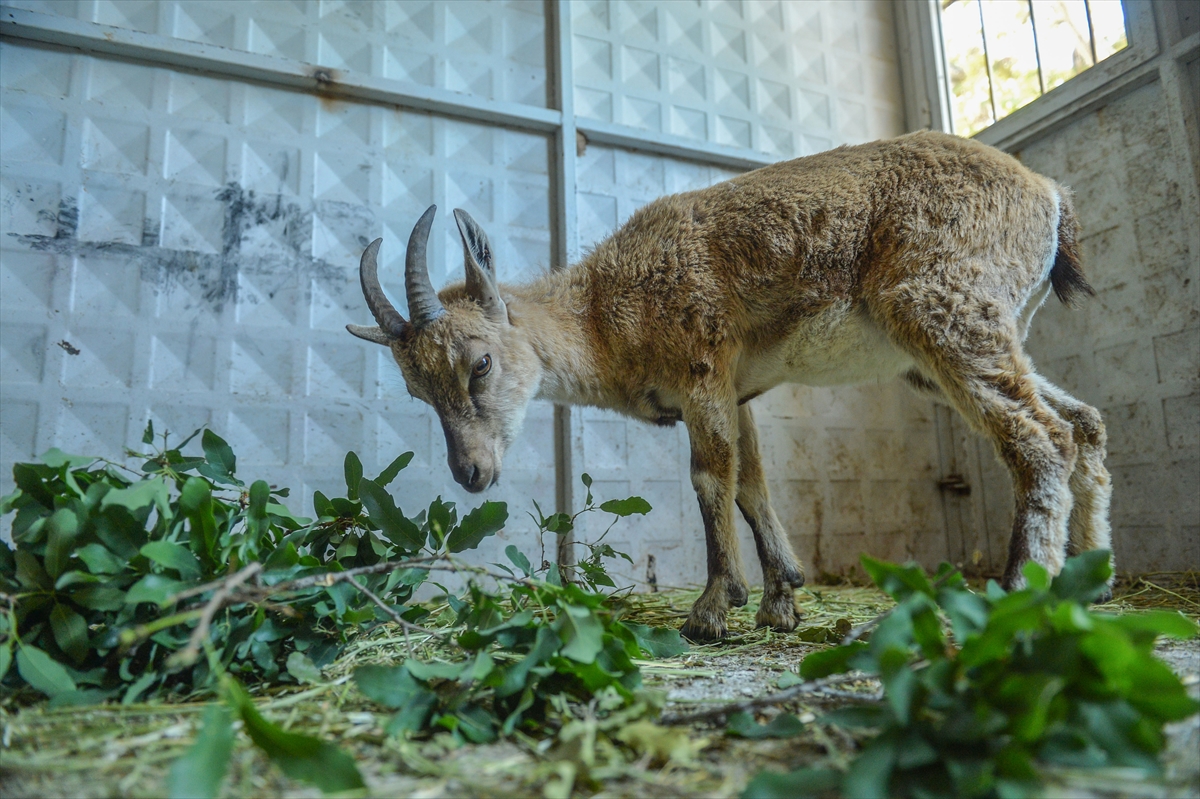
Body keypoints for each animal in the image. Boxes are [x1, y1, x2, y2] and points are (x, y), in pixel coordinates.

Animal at [350, 131, 1113, 643]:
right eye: (416, 390)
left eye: (478, 363)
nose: (472, 473)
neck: (604, 311)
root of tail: (1049, 198)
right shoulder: (738, 392)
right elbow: (754, 484)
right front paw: (781, 599)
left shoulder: (702, 365)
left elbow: (712, 477)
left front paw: (714, 608)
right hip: (945, 354)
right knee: (1083, 422)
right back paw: (1094, 576)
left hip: (943, 309)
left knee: (1041, 438)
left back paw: (1021, 592)